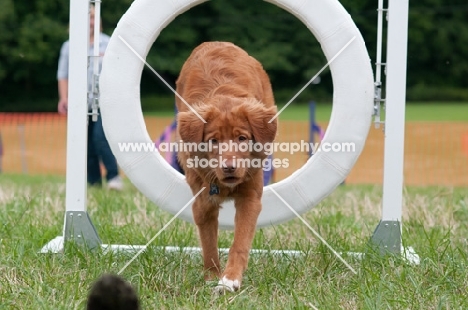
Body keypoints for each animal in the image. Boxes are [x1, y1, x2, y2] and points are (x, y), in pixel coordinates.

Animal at [176, 41, 278, 294]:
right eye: (213, 141)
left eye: (242, 138)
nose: (229, 167)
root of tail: (216, 42)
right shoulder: (203, 203)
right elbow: (209, 244)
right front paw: (212, 278)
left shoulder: (250, 197)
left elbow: (240, 242)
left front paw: (230, 279)